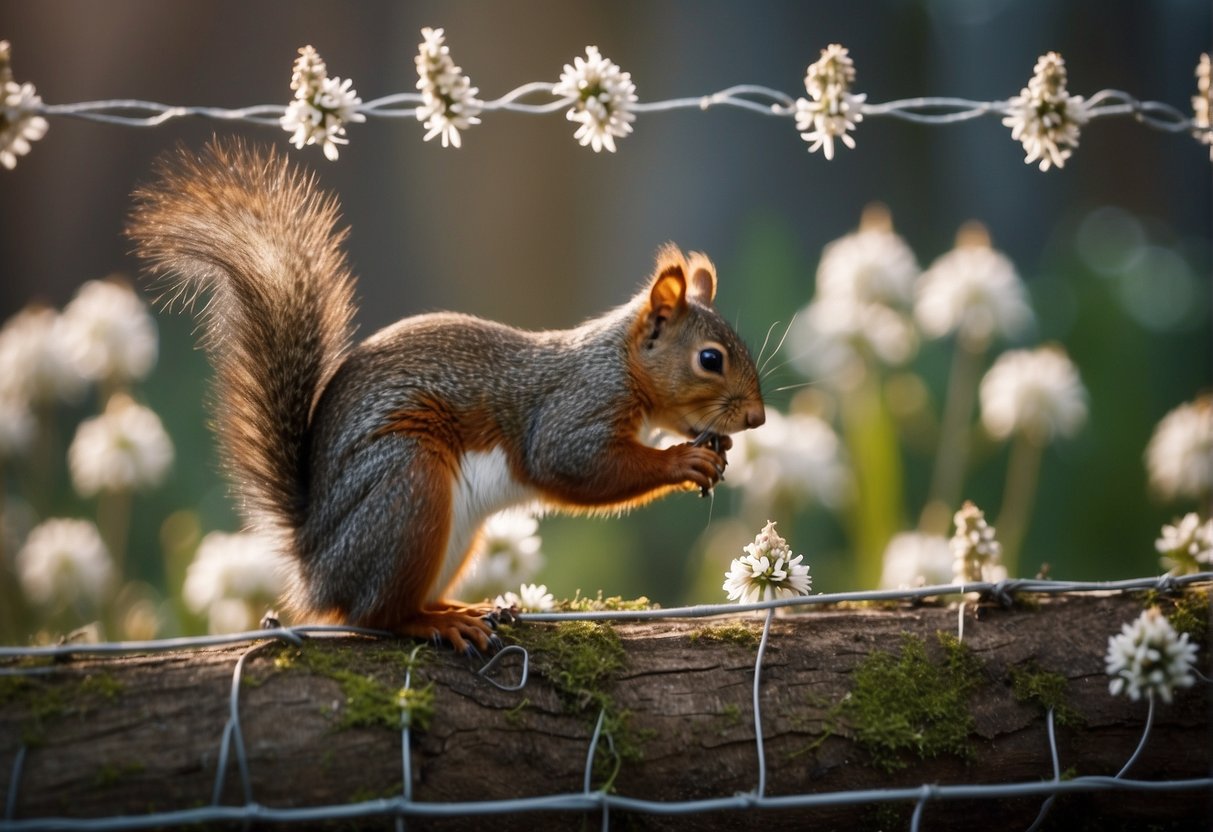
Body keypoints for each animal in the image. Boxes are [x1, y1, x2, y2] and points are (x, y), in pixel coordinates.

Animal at [128, 139, 765, 651]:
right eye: (710, 359)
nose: (757, 419)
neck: (620, 364)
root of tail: (314, 562)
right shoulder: (572, 411)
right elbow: (572, 464)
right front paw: (680, 462)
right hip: (409, 487)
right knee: (374, 615)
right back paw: (437, 623)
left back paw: (461, 607)